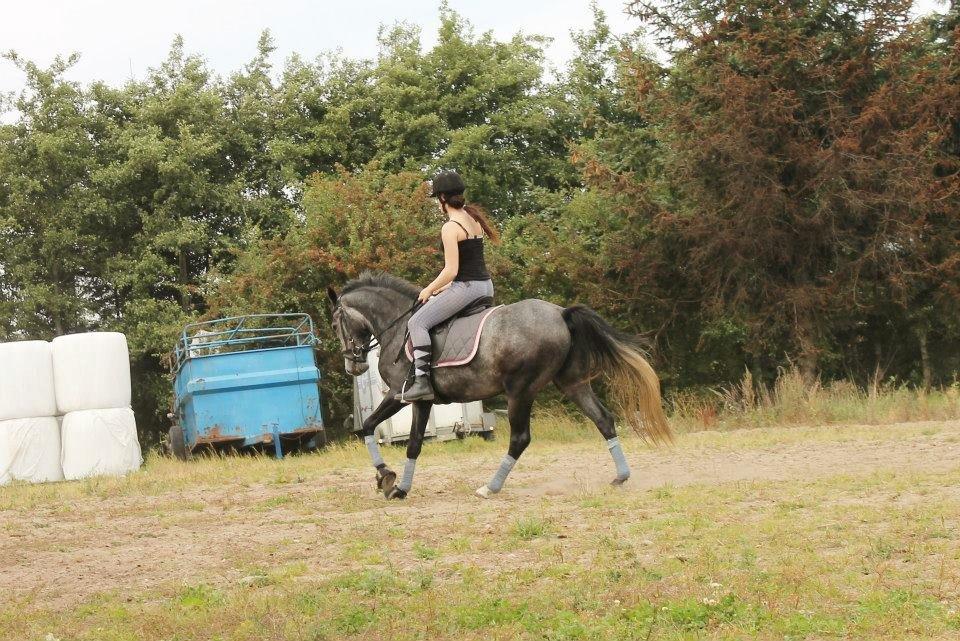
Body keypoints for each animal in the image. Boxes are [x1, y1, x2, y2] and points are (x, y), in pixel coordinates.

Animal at [326, 272, 672, 500]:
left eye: (333, 324)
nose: (353, 366)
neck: (397, 327)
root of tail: (561, 313)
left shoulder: (407, 397)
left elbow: (399, 438)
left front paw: (393, 483)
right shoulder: (409, 400)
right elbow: (379, 430)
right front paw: (389, 479)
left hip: (520, 390)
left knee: (520, 438)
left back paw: (490, 487)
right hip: (571, 383)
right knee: (603, 419)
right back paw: (621, 476)